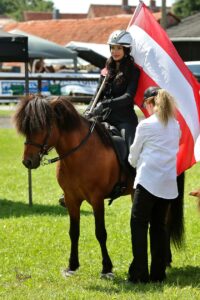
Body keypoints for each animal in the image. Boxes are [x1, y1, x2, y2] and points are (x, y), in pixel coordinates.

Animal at [12, 95, 184, 278]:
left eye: (40, 126)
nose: (27, 161)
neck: (80, 154)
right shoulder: (71, 199)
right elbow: (74, 232)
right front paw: (72, 265)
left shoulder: (96, 199)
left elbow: (100, 232)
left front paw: (107, 268)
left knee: (164, 223)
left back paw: (165, 260)